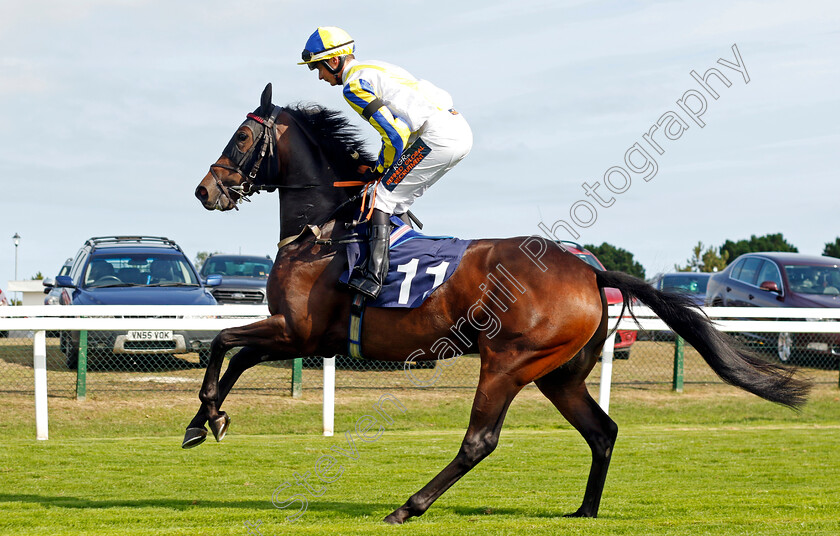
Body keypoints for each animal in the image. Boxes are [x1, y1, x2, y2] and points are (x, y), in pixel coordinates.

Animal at [187, 82, 812, 524]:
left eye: (241, 138)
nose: (205, 189)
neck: (322, 231)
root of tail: (589, 270)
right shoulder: (304, 335)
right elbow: (237, 354)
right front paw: (206, 421)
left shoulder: (300, 330)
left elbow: (223, 342)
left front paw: (207, 414)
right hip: (559, 374)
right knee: (602, 430)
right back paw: (585, 510)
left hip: (508, 362)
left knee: (480, 441)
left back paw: (408, 507)